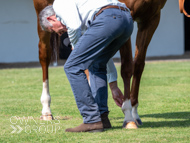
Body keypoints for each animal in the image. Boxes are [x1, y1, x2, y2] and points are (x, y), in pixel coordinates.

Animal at [33, 0, 168, 128]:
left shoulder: (151, 18)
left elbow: (138, 65)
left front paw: (134, 112)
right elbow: (127, 68)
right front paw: (128, 116)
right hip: (42, 8)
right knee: (45, 55)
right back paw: (46, 110)